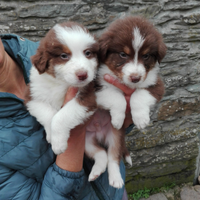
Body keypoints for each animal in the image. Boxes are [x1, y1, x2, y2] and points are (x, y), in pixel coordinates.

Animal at [25, 21, 99, 155]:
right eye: (64, 56)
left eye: (88, 53)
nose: (83, 75)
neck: (61, 82)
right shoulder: (31, 96)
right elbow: (48, 114)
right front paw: (51, 137)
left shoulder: (88, 97)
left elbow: (60, 117)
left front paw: (58, 144)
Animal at [90, 16, 166, 188]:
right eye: (123, 54)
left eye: (146, 56)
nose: (135, 78)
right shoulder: (96, 87)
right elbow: (117, 97)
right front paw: (118, 119)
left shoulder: (156, 85)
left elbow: (139, 94)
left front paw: (141, 119)